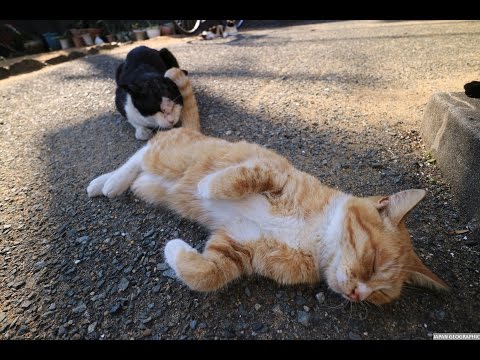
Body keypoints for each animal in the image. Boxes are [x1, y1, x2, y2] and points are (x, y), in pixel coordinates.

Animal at [87, 126, 450, 304]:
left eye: (380, 295)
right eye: (372, 261)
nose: (358, 295)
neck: (316, 236)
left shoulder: (236, 247)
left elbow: (205, 275)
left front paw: (175, 249)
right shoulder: (276, 175)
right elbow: (244, 176)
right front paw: (206, 186)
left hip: (151, 186)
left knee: (141, 172)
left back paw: (112, 183)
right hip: (170, 156)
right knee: (143, 152)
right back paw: (107, 182)